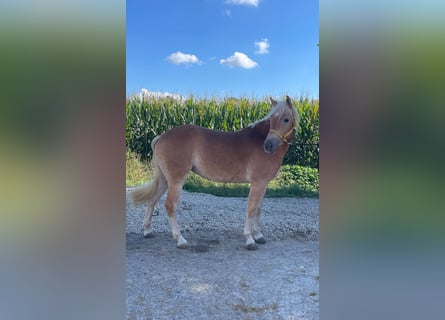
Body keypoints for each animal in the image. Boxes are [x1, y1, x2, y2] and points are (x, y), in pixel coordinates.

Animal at [132, 95, 298, 250]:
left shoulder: (264, 184)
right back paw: (180, 240)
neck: (259, 140)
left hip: (165, 180)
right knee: (170, 205)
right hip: (176, 180)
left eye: (286, 119)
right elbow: (251, 209)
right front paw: (250, 239)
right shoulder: (257, 183)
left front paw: (258, 235)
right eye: (272, 120)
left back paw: (147, 231)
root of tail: (161, 137)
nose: (268, 145)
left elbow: (258, 209)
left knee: (152, 200)